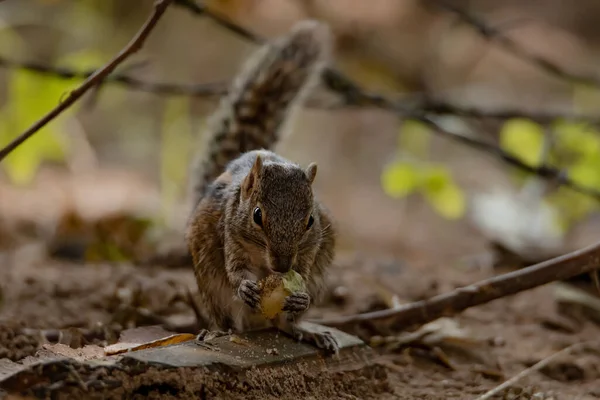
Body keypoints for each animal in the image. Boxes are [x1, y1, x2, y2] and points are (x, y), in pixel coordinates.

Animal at [185, 20, 340, 352]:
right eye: (257, 215)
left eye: (310, 221)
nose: (281, 267)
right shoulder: (231, 234)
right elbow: (235, 268)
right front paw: (245, 285)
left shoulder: (310, 248)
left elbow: (303, 270)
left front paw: (300, 295)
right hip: (213, 290)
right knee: (227, 320)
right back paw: (217, 332)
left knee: (284, 324)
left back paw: (306, 330)